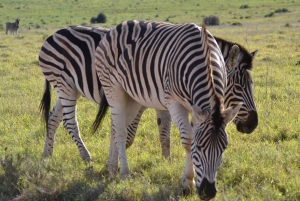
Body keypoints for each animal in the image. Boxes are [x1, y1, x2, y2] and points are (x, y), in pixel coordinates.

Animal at [38, 25, 258, 163]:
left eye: (251, 85)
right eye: (237, 86)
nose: (253, 125)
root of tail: (53, 35)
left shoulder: (165, 102)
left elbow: (164, 135)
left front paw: (167, 163)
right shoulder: (140, 101)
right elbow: (128, 135)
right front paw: (118, 160)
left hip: (69, 88)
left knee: (53, 118)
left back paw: (47, 155)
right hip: (65, 86)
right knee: (69, 122)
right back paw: (86, 156)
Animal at [95, 20, 243, 199]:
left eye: (224, 148)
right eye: (199, 147)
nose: (208, 193)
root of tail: (115, 28)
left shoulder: (196, 110)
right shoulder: (173, 102)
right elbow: (188, 139)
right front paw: (188, 183)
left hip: (132, 98)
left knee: (115, 128)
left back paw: (111, 168)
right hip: (113, 90)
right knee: (121, 132)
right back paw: (124, 173)